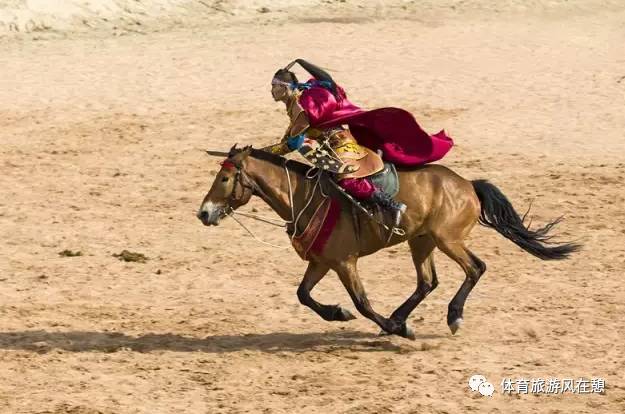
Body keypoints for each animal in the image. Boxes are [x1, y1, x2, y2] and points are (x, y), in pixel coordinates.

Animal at [196, 146, 580, 340]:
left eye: (225, 178)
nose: (204, 213)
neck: (307, 196)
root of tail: (468, 184)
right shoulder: (321, 262)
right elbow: (303, 295)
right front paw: (340, 313)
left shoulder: (344, 262)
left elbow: (363, 303)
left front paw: (394, 328)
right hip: (421, 242)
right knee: (427, 282)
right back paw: (402, 316)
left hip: (447, 239)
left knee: (475, 267)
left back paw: (451, 316)